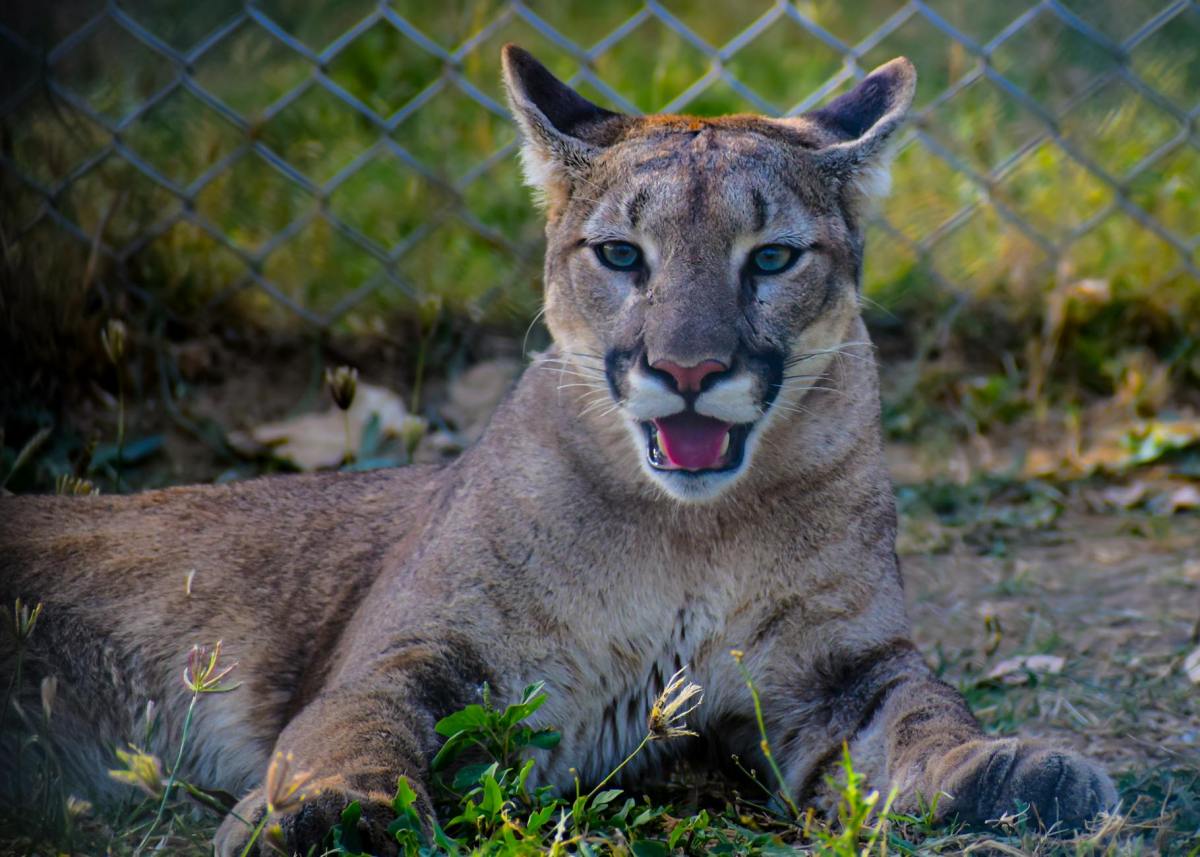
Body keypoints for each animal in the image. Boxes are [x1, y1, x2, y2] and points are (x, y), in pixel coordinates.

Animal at [0, 46, 1115, 855]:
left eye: (772, 259)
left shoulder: (846, 668)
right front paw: (322, 816)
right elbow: (354, 729)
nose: (690, 367)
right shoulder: (414, 649)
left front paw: (1008, 772)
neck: (687, 535)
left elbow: (928, 713)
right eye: (621, 254)